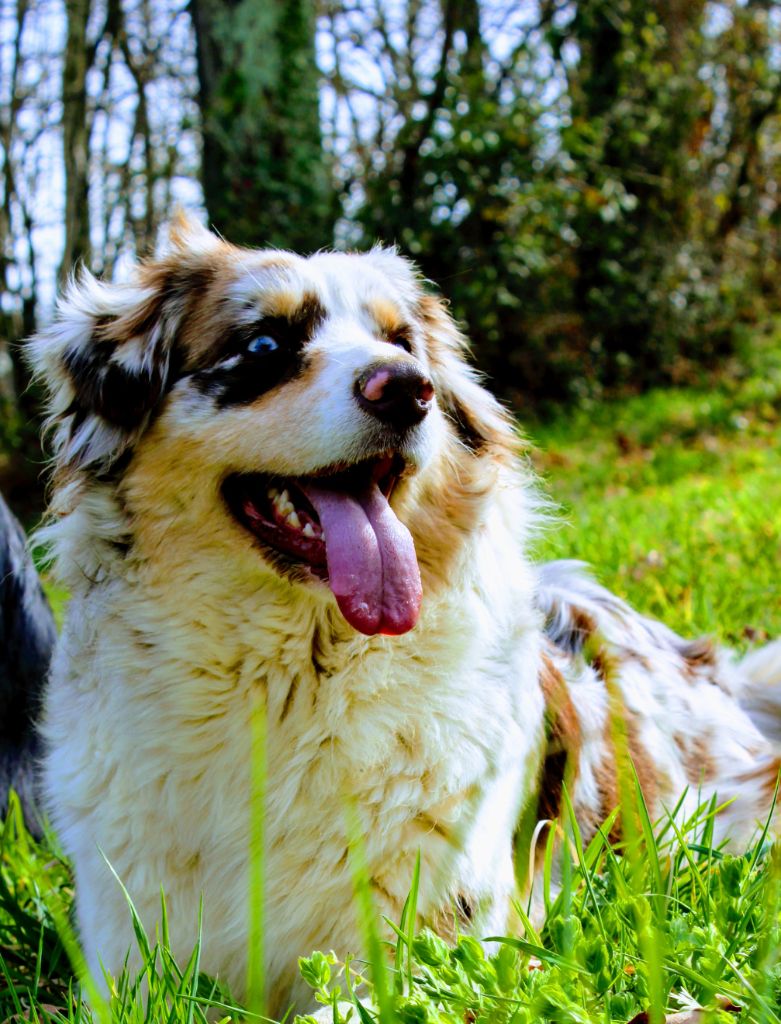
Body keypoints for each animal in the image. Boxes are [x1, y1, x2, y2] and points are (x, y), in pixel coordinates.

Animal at [27, 211, 781, 1011]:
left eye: (403, 343)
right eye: (264, 346)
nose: (406, 389)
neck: (284, 685)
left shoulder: (442, 953)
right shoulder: (125, 957)